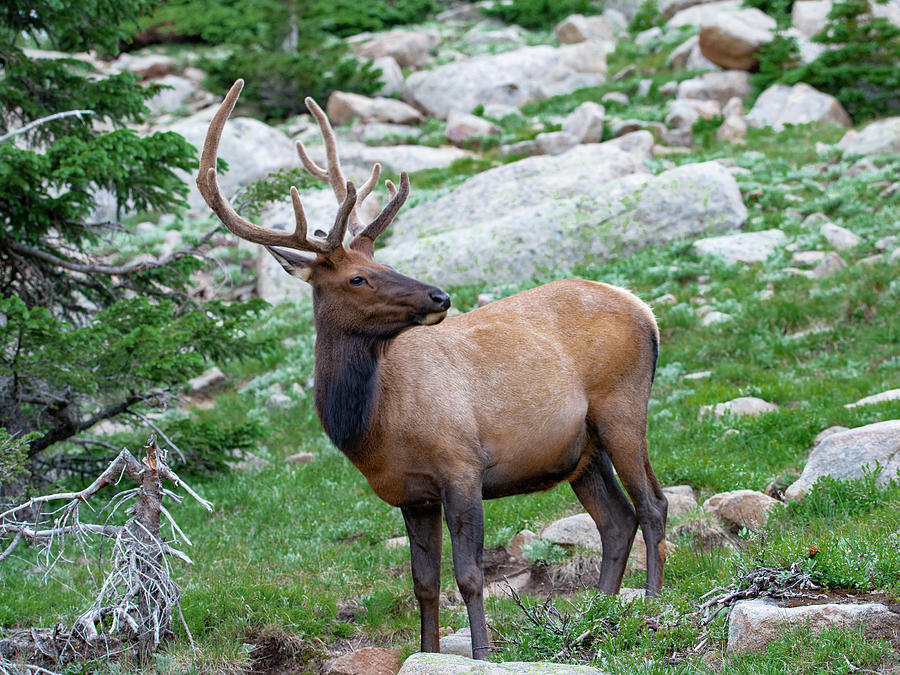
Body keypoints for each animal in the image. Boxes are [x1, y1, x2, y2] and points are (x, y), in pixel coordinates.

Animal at [197, 79, 668, 660]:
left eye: (381, 262)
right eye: (358, 277)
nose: (439, 295)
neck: (373, 424)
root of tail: (644, 309)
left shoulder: (461, 465)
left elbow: (469, 575)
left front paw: (484, 653)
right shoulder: (411, 492)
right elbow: (424, 581)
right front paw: (429, 648)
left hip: (622, 407)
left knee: (652, 504)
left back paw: (651, 603)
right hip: (581, 450)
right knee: (616, 520)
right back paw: (598, 613)